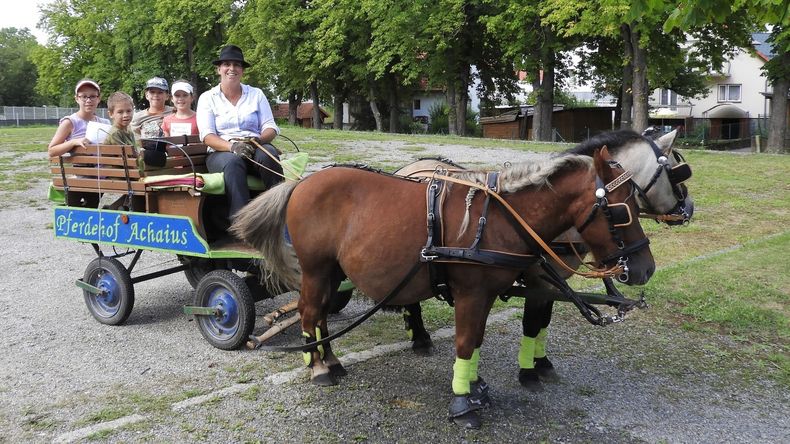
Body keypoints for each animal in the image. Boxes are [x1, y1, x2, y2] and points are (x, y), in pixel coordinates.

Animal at [230, 147, 656, 428]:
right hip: (316, 268)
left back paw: (331, 360)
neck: (501, 218)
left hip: (332, 271)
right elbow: (466, 342)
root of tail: (303, 181)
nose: (645, 268)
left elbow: (478, 340)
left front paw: (476, 386)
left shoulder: (487, 295)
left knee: (318, 313)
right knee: (309, 311)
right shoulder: (471, 292)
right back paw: (317, 366)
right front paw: (464, 402)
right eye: (620, 210)